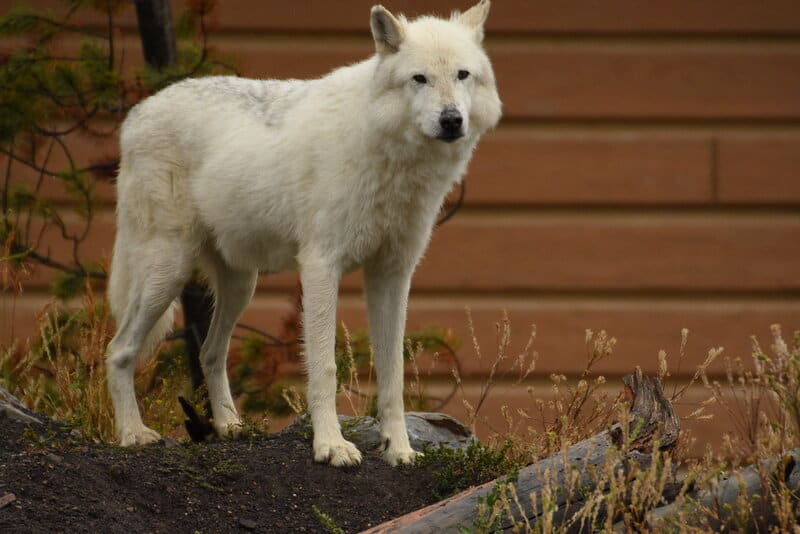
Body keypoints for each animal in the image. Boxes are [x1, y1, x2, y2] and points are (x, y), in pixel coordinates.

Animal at [105, 0, 501, 466]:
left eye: (463, 75)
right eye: (419, 78)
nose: (452, 120)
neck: (392, 160)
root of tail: (135, 116)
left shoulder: (392, 274)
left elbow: (392, 373)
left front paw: (399, 449)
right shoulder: (320, 266)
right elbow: (324, 366)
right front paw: (331, 446)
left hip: (240, 285)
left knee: (209, 351)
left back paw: (229, 427)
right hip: (167, 272)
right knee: (120, 350)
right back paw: (133, 433)